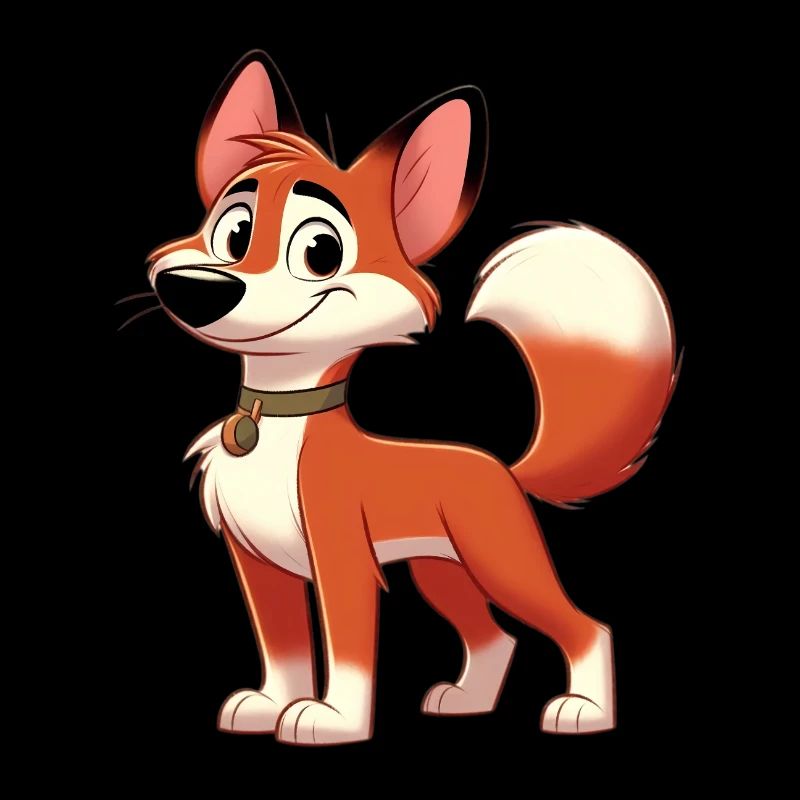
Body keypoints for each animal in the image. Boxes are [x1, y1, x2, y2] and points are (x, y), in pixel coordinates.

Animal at [143, 50, 678, 746]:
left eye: (320, 250)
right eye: (231, 231)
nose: (196, 288)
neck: (276, 421)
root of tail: (503, 468)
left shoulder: (342, 558)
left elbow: (346, 650)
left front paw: (332, 719)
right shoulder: (257, 565)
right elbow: (284, 651)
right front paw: (268, 706)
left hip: (501, 561)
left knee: (585, 626)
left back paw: (585, 710)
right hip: (442, 572)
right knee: (495, 639)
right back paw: (467, 701)